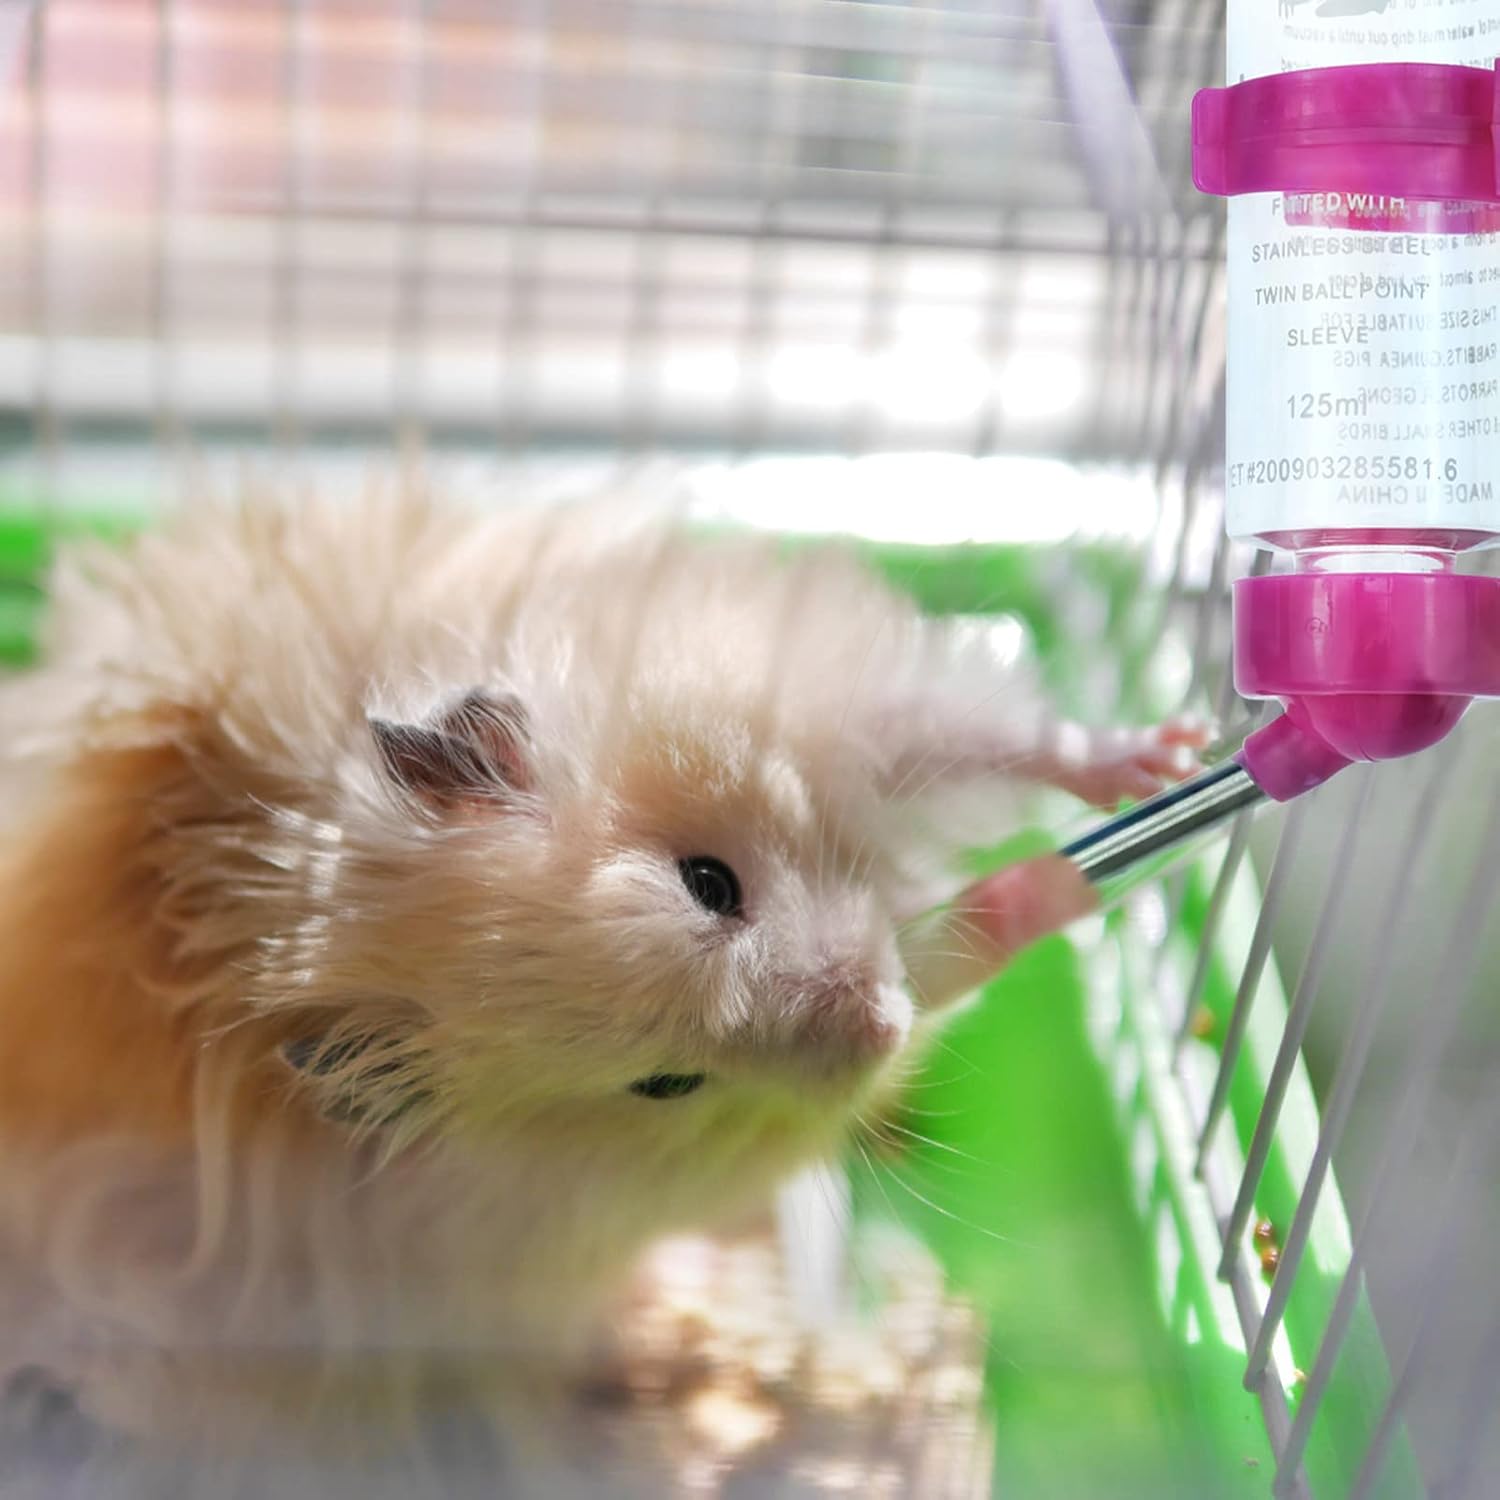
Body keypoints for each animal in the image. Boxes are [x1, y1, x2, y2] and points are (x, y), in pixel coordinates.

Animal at [0, 484, 1199, 1463]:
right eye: (663, 1083)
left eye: (709, 881)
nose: (877, 1028)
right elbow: (959, 954)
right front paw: (1064, 883)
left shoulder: (817, 696)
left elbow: (975, 733)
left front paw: (1161, 760)